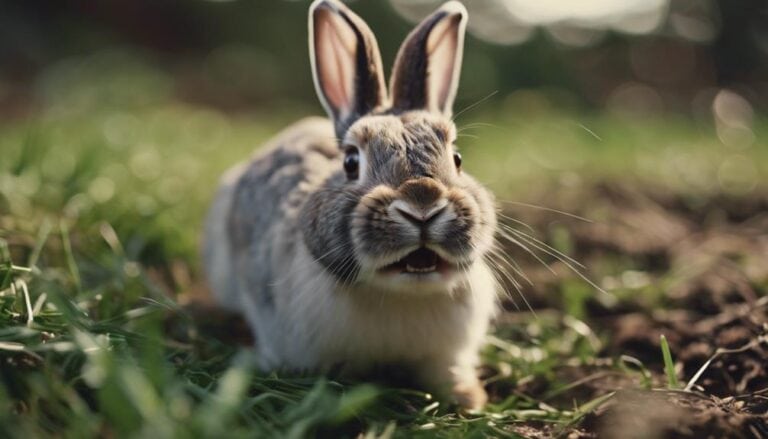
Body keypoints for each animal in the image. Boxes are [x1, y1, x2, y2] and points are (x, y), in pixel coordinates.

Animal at [203, 0, 498, 410]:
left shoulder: (446, 353)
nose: (422, 204)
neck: (400, 294)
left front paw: (468, 398)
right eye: (350, 162)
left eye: (457, 158)